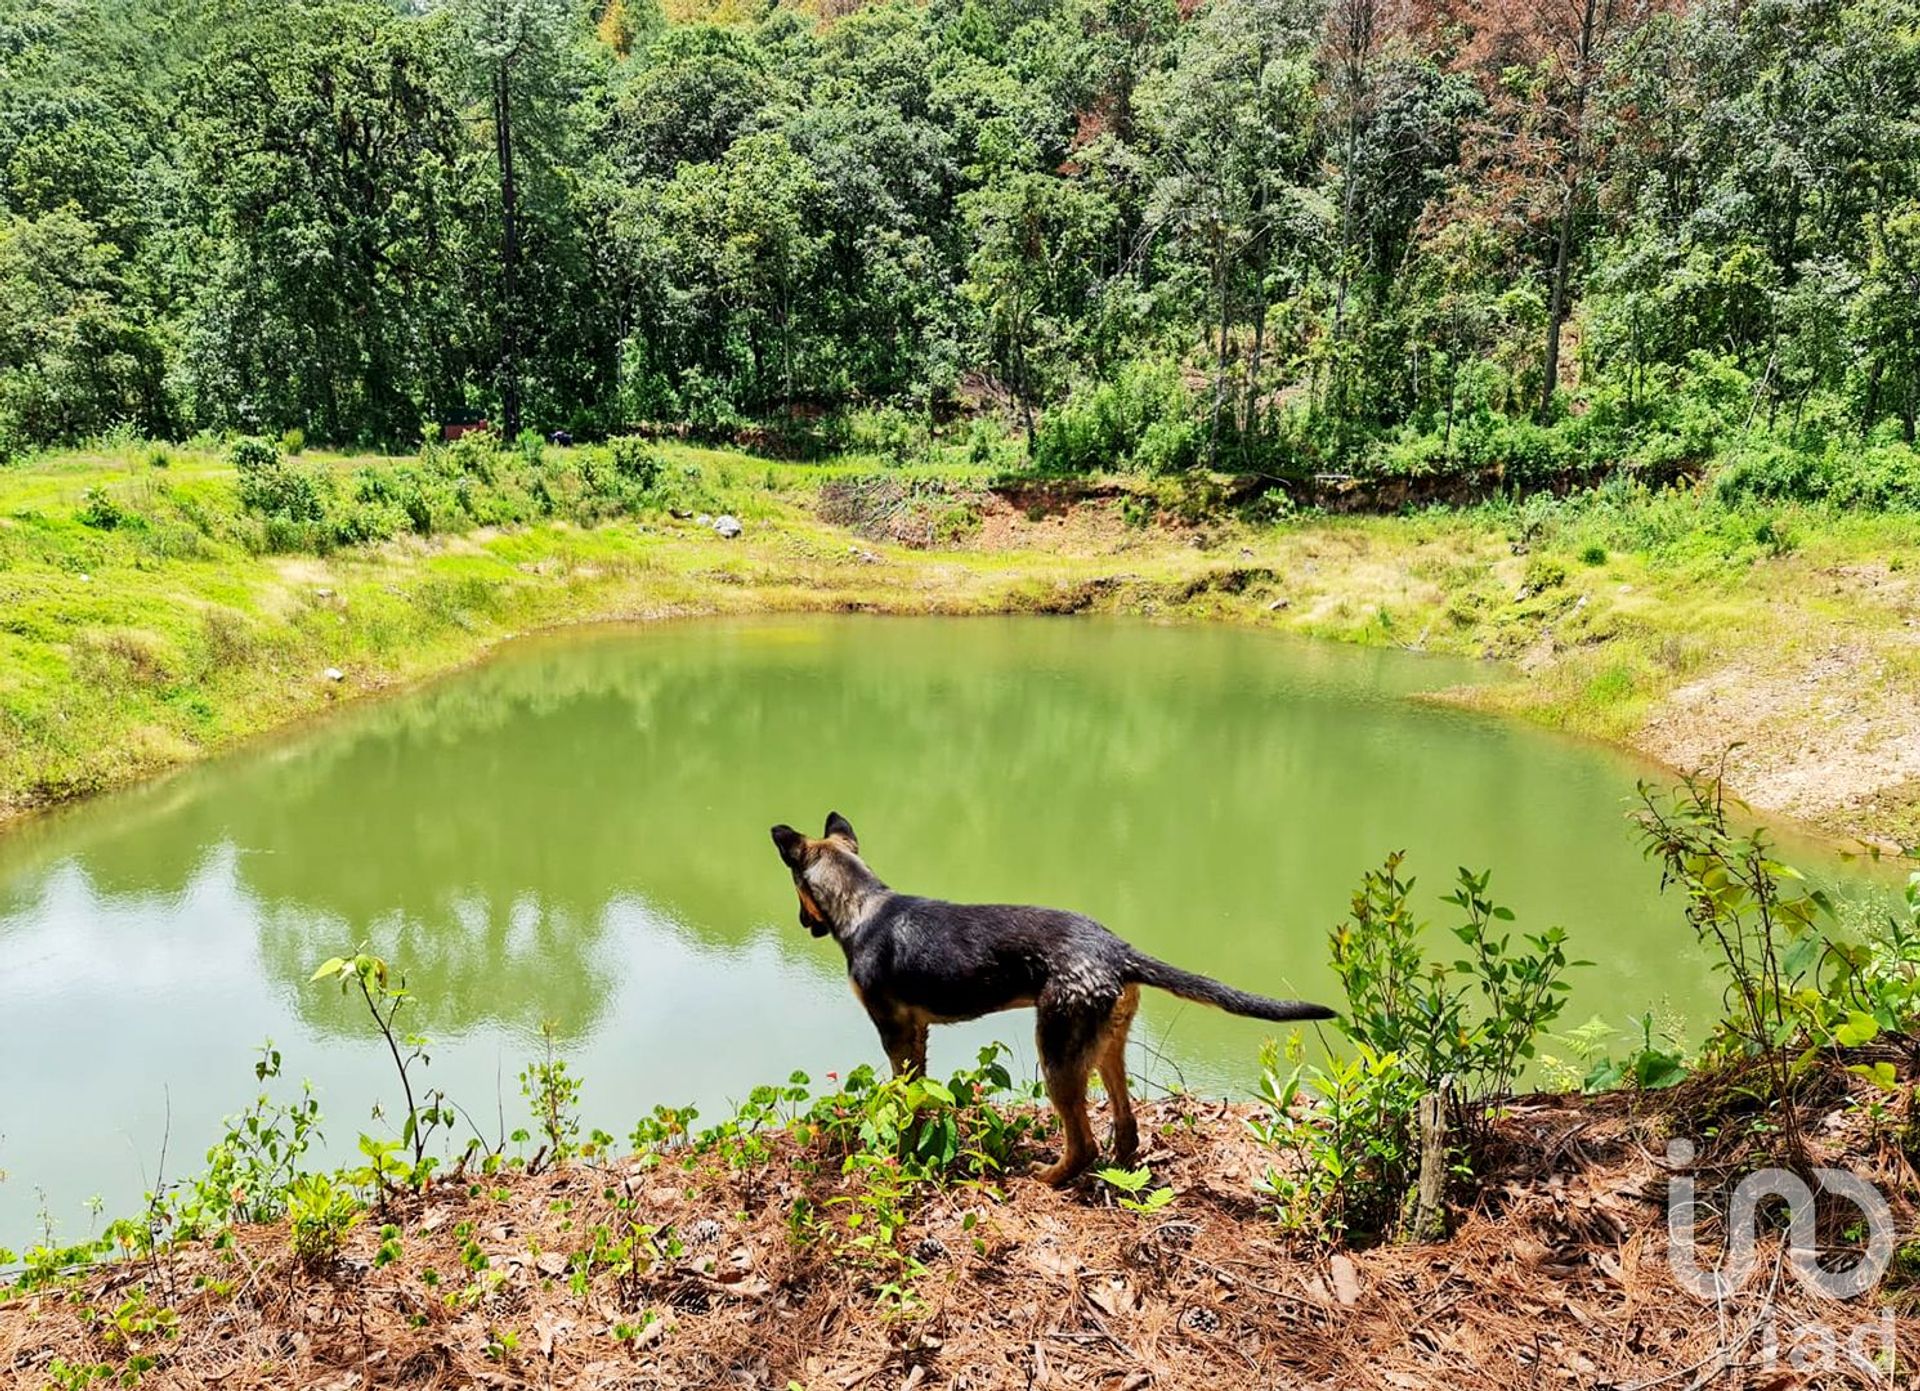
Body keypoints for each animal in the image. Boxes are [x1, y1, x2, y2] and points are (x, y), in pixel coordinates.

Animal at [764, 814, 1336, 1183]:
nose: (801, 923)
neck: (863, 906)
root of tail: (1119, 949)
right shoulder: (918, 1033)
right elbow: (922, 1097)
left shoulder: (894, 1031)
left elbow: (906, 1102)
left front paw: (902, 1158)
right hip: (1104, 1045)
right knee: (1126, 1126)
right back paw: (1118, 1168)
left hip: (1056, 1048)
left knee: (1082, 1142)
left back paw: (1049, 1176)